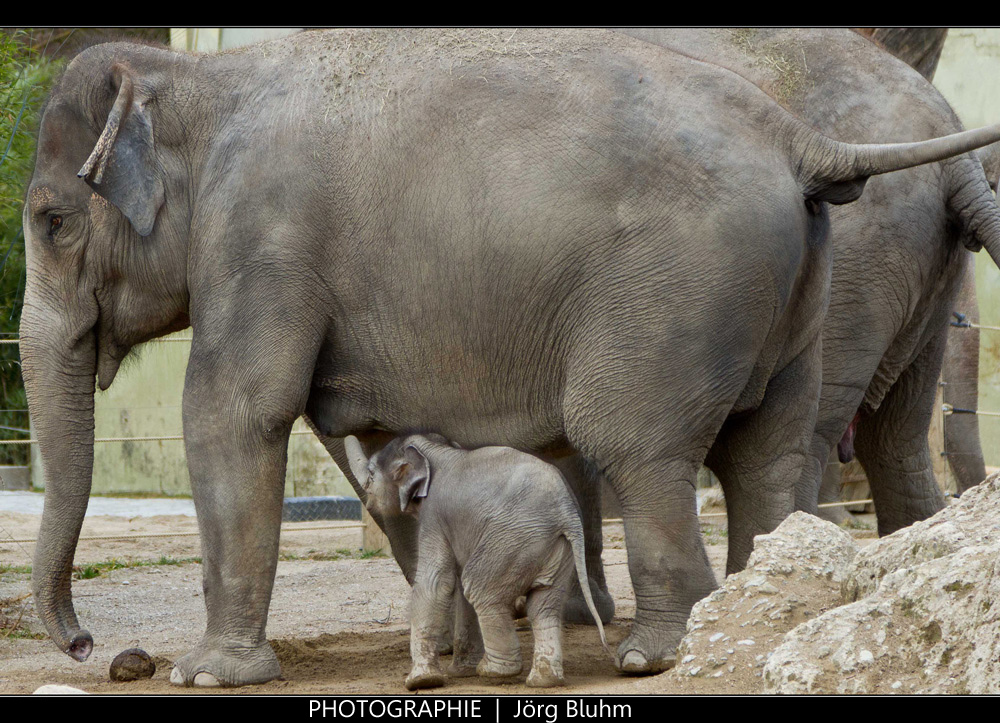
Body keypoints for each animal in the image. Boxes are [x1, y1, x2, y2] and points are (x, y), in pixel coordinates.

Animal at [344, 436, 608, 692]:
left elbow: (435, 583)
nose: (369, 497)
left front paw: (420, 682)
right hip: (556, 548)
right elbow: (456, 585)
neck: (434, 450)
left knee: (481, 589)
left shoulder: (434, 515)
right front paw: (460, 673)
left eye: (371, 473)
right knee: (543, 605)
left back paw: (494, 671)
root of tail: (566, 512)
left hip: (510, 541)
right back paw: (544, 681)